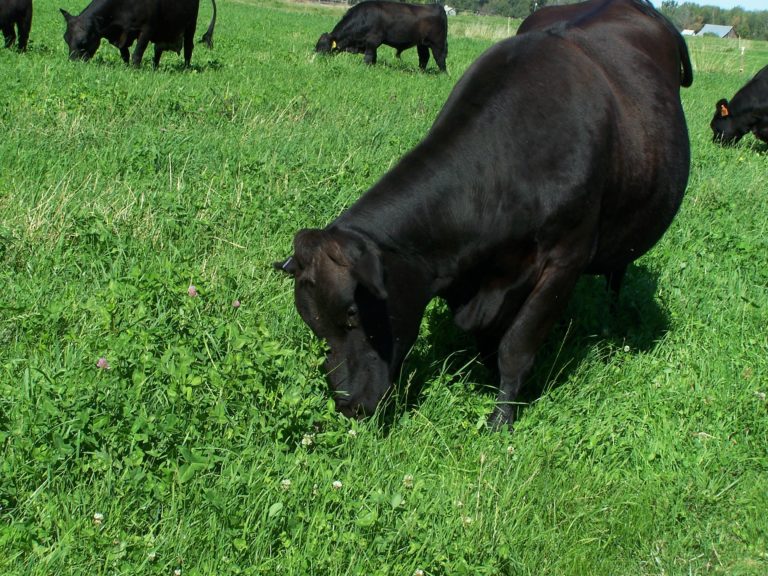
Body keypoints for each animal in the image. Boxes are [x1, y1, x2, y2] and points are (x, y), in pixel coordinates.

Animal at [59, 0, 216, 67]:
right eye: (66, 39)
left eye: (83, 42)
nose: (73, 63)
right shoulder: (121, 35)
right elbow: (125, 54)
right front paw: (126, 67)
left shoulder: (147, 29)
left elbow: (137, 53)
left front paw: (134, 69)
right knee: (158, 50)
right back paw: (154, 67)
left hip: (190, 25)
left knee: (188, 48)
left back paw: (186, 68)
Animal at [316, 0, 450, 72]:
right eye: (316, 47)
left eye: (324, 48)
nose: (317, 60)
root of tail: (436, 6)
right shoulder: (371, 44)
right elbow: (373, 57)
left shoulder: (372, 41)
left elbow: (368, 57)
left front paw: (365, 68)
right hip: (422, 44)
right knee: (424, 58)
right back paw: (420, 73)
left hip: (438, 43)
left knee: (440, 58)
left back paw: (443, 74)